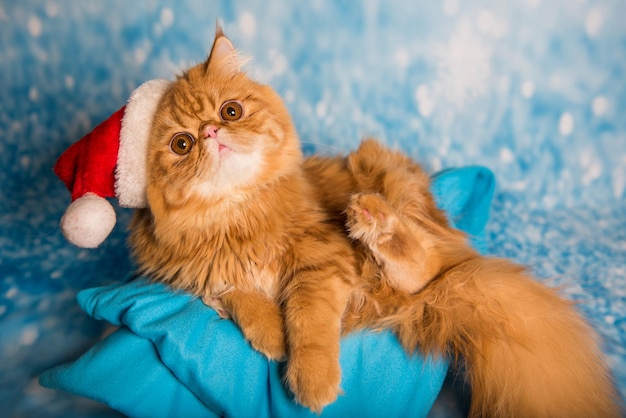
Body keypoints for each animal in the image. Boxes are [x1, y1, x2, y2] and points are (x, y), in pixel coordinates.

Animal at [129, 27, 616, 416]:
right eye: (182, 144)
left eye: (230, 111)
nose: (212, 133)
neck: (238, 215)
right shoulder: (205, 277)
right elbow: (241, 297)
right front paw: (271, 337)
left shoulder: (321, 259)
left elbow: (309, 323)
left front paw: (312, 381)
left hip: (384, 176)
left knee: (420, 269)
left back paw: (374, 222)